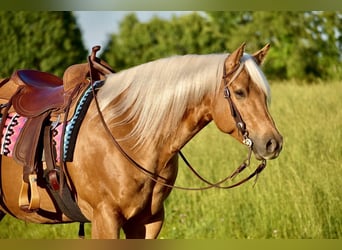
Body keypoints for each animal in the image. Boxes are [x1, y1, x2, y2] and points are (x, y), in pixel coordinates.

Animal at [0, 43, 284, 238]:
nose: (273, 143)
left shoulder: (149, 221)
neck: (128, 135)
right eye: (240, 92)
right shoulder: (105, 220)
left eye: (264, 93)